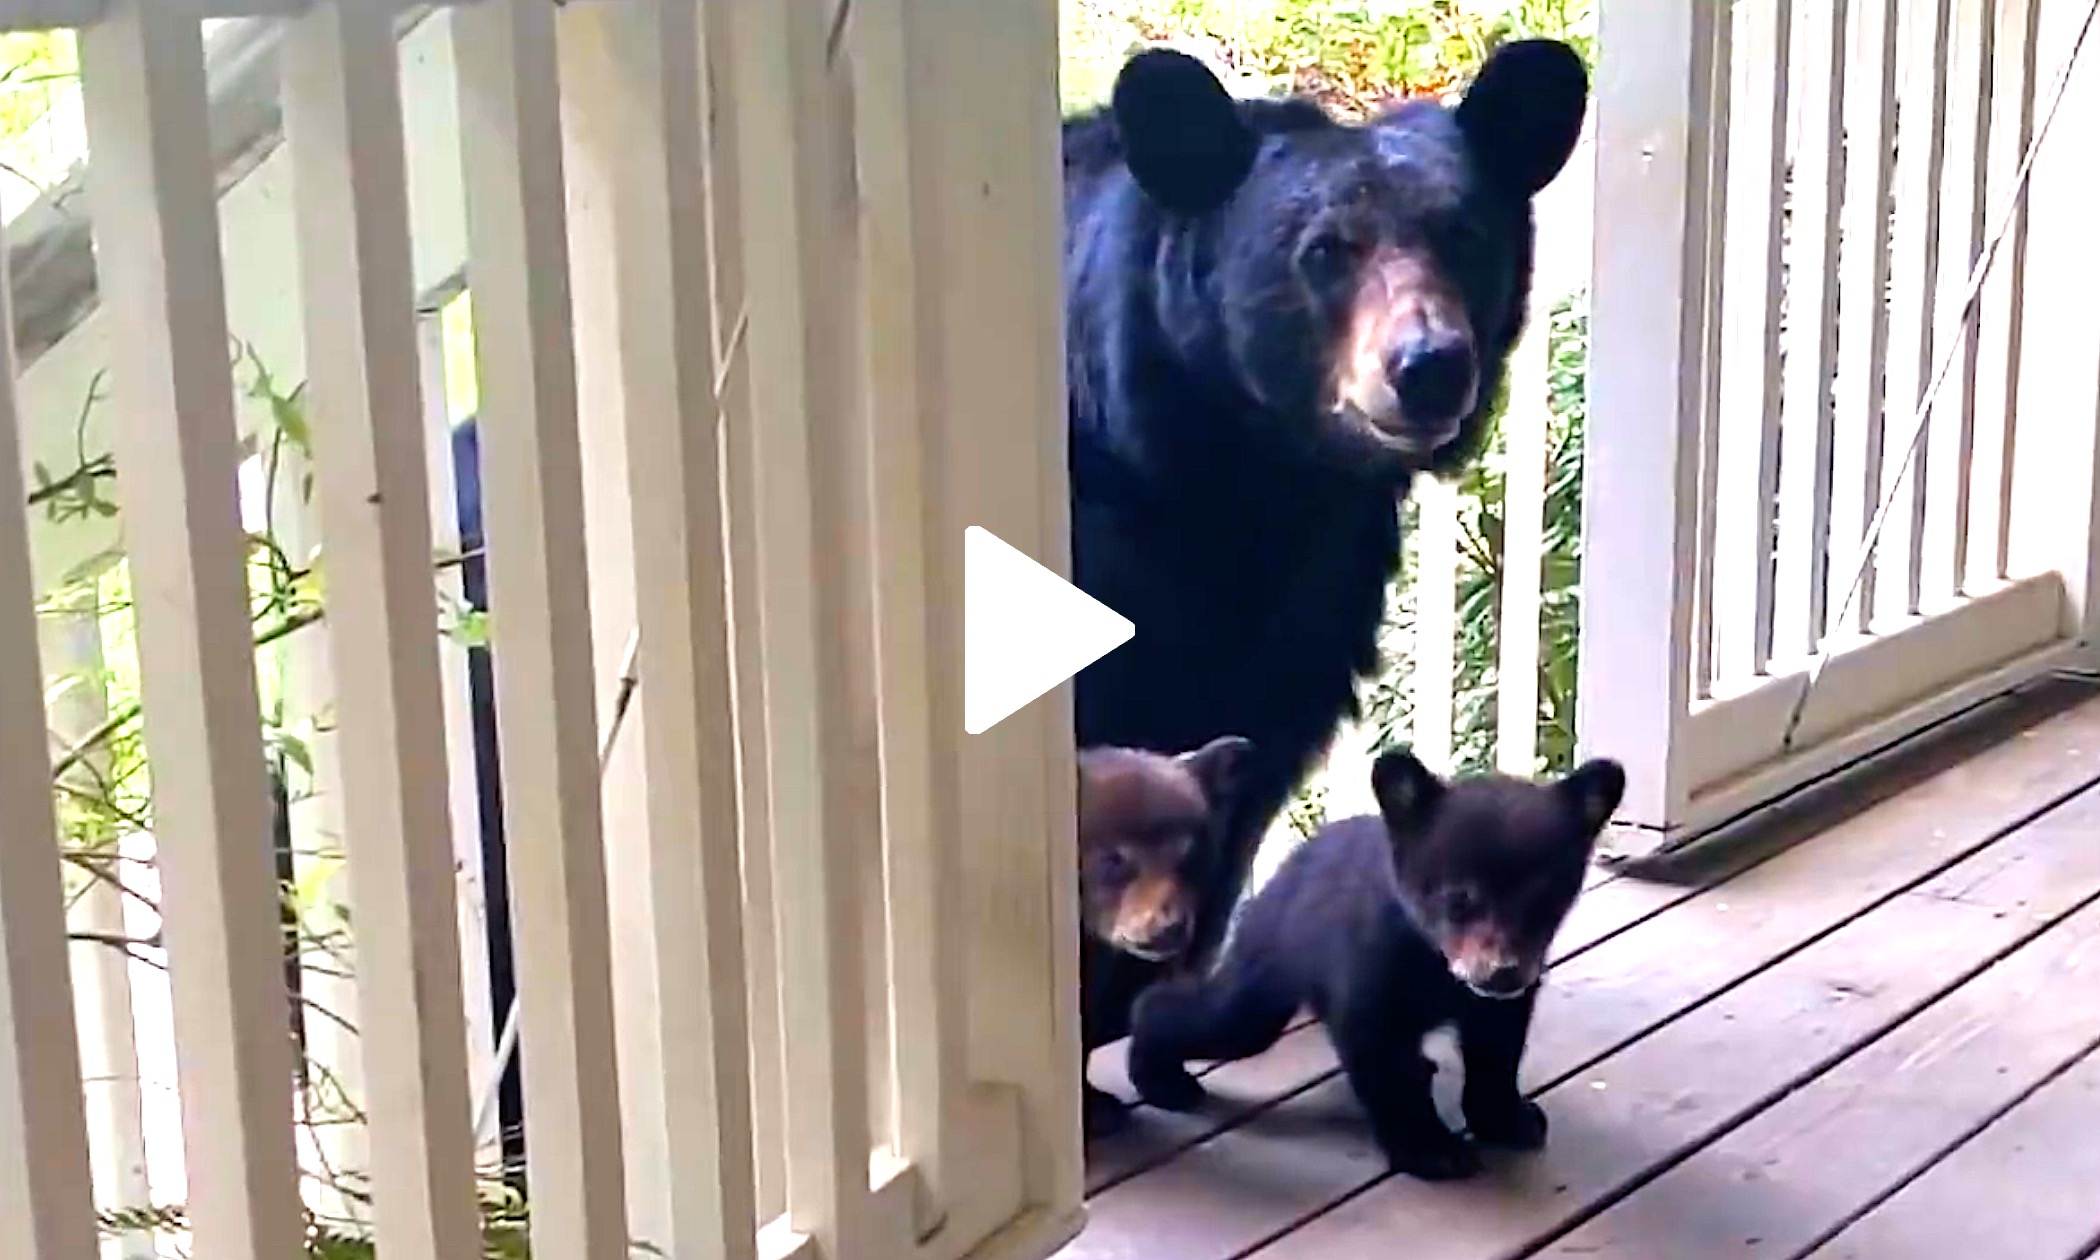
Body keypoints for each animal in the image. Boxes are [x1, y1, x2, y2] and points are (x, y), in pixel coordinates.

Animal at [1125, 748, 1624, 1181]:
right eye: (1459, 897)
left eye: (1543, 897)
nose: (1502, 972)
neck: (1434, 962)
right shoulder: (1369, 978)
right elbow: (1385, 1067)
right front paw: (1430, 1148)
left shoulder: (1502, 1005)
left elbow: (1497, 1054)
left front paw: (1504, 1117)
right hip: (1264, 971)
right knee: (1205, 1014)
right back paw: (1159, 1078)